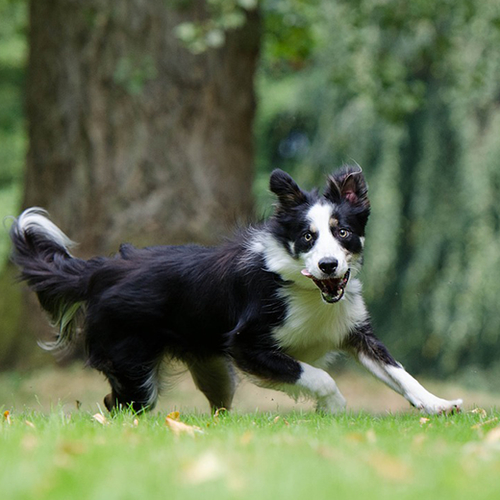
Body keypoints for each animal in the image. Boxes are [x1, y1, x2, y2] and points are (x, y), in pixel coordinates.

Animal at [8, 167, 460, 414]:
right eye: (307, 237)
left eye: (343, 233)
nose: (329, 265)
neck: (305, 288)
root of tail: (100, 271)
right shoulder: (246, 344)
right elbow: (317, 375)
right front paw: (334, 407)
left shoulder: (352, 329)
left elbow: (400, 373)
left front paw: (438, 404)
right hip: (133, 365)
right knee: (116, 404)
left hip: (212, 370)